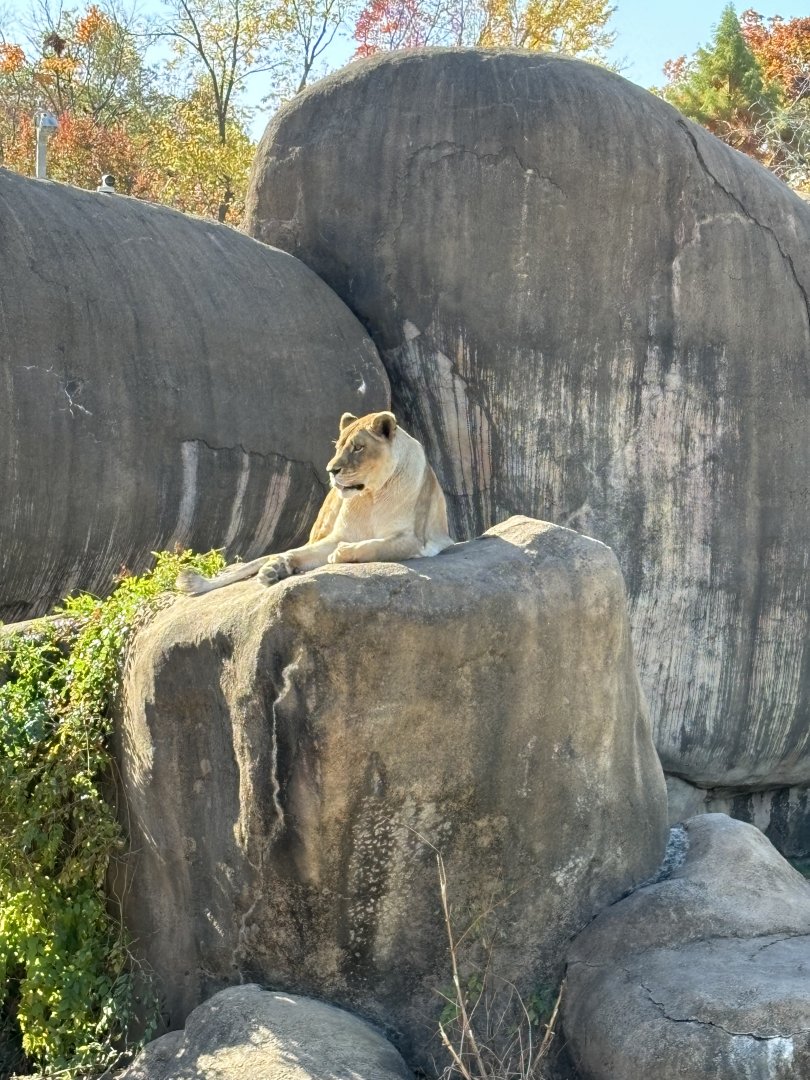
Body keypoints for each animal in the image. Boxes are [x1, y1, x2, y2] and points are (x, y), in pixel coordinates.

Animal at [176, 411, 454, 596]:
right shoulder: (337, 535)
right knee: (293, 550)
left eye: (358, 448)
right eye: (338, 446)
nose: (331, 470)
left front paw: (342, 553)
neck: (370, 496)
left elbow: (375, 546)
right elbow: (305, 552)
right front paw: (280, 566)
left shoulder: (415, 540)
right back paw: (273, 569)